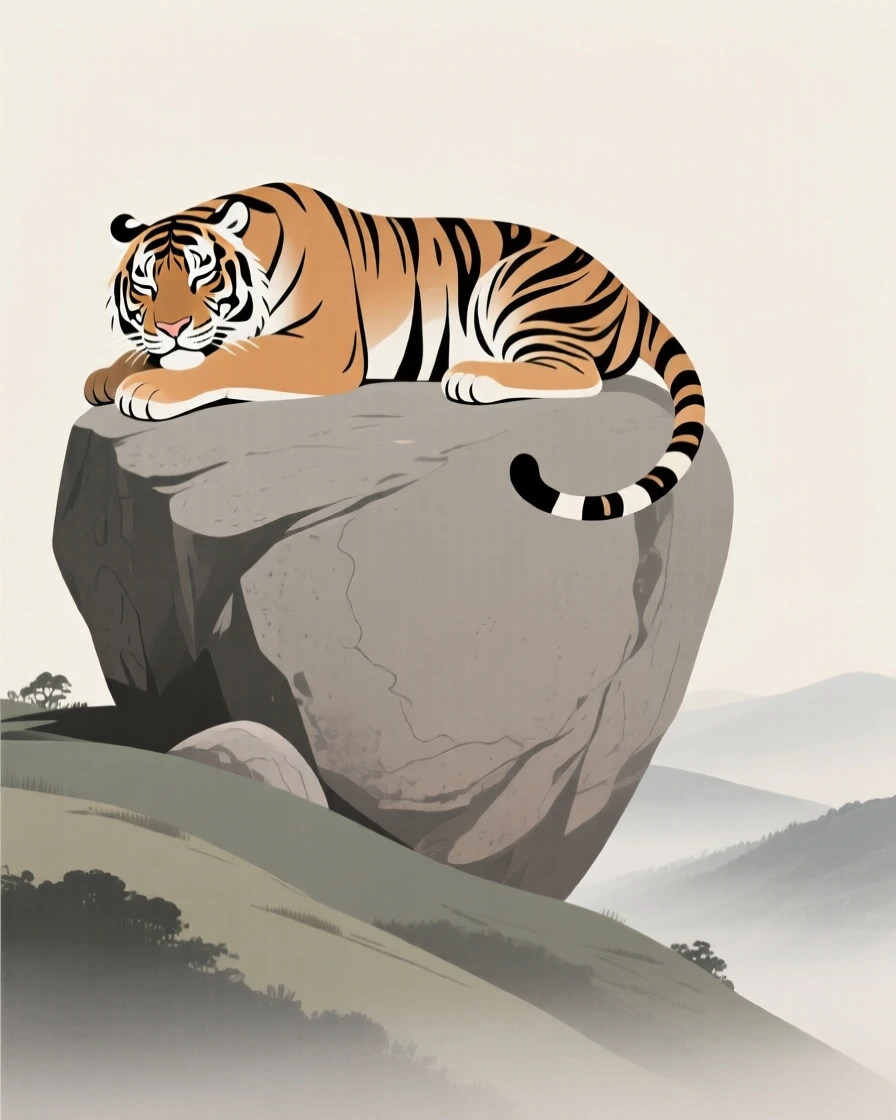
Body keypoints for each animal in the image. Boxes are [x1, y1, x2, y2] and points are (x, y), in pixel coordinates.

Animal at [85, 182, 706, 521]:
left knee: (580, 372)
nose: (172, 326)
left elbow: (232, 358)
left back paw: (473, 376)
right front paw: (108, 375)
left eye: (202, 275)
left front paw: (149, 386)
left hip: (517, 282)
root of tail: (623, 287)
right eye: (145, 284)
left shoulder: (322, 347)